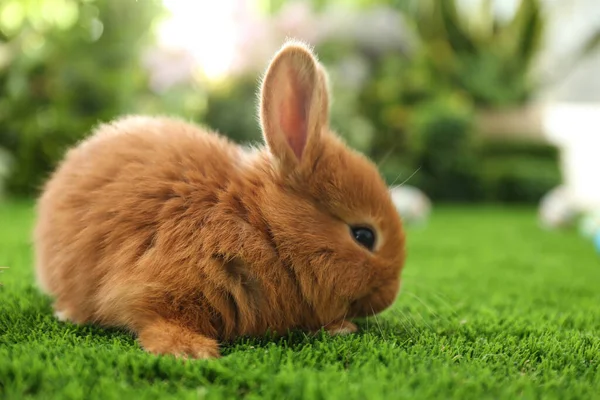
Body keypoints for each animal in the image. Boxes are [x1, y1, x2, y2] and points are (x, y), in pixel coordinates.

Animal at [34, 40, 408, 360]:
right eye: (364, 236)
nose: (389, 296)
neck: (260, 225)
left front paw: (340, 327)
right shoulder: (156, 285)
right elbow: (156, 318)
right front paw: (188, 350)